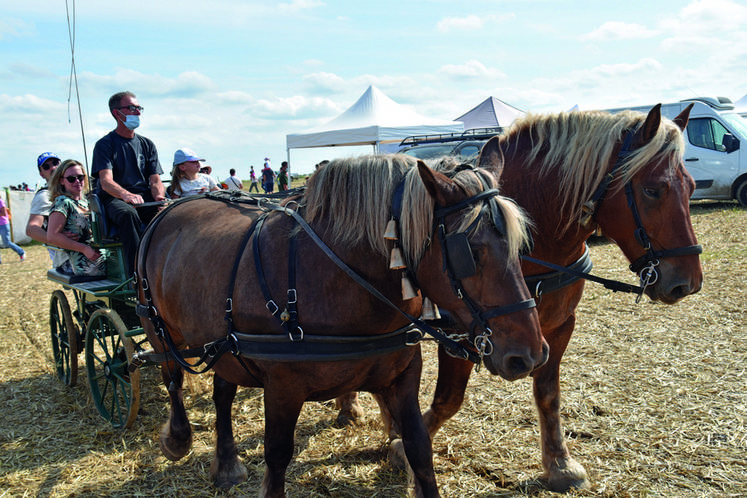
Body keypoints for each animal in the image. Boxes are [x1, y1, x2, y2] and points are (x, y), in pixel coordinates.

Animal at [134, 154, 548, 496]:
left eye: (520, 245)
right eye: (469, 250)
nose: (530, 355)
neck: (337, 273)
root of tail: (173, 206)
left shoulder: (402, 373)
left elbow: (418, 447)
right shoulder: (281, 386)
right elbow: (277, 457)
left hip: (223, 343)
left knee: (222, 391)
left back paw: (226, 464)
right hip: (159, 330)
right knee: (172, 379)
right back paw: (177, 439)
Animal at [338, 104, 700, 490]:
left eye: (691, 187)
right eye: (653, 190)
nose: (688, 282)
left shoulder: (556, 328)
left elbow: (548, 394)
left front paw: (559, 464)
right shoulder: (462, 334)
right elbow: (449, 399)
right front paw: (402, 449)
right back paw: (353, 407)